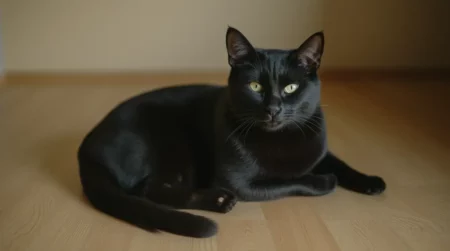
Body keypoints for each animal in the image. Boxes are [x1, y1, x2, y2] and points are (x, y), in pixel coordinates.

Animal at [76, 26, 384, 238]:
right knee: (152, 192)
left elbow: (339, 162)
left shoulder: (317, 147)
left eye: (291, 88)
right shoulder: (241, 183)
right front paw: (325, 181)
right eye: (255, 87)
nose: (274, 109)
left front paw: (370, 181)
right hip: (174, 143)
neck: (280, 138)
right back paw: (220, 200)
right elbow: (289, 181)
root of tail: (87, 147)